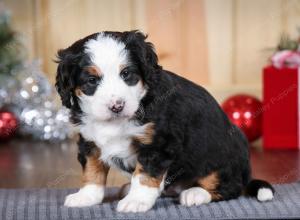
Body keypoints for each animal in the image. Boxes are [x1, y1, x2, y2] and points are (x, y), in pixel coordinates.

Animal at [55, 30, 274, 212]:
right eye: (91, 81)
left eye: (126, 74)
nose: (117, 106)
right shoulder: (89, 141)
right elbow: (92, 171)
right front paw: (86, 197)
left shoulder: (158, 143)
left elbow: (144, 175)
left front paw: (136, 201)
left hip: (224, 155)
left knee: (229, 186)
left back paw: (194, 193)